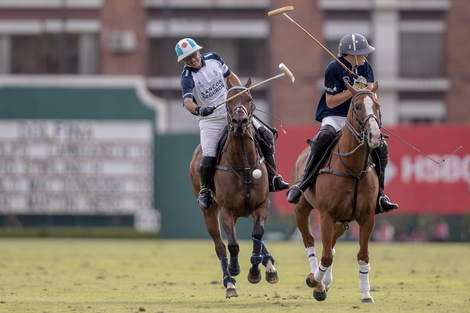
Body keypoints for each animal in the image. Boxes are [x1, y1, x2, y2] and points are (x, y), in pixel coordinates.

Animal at [190, 78, 280, 298]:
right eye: (228, 101)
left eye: (249, 98)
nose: (240, 122)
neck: (244, 165)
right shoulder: (227, 211)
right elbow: (232, 245)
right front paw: (235, 269)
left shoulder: (262, 204)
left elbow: (258, 234)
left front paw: (255, 270)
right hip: (209, 212)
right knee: (220, 247)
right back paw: (229, 283)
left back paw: (270, 267)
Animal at [292, 81, 384, 302]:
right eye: (357, 106)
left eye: (377, 106)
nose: (375, 136)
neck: (353, 168)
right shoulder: (326, 215)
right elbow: (325, 256)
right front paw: (314, 281)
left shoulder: (367, 217)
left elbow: (362, 256)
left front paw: (366, 294)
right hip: (302, 209)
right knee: (310, 241)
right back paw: (316, 280)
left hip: (344, 219)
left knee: (332, 242)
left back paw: (325, 281)